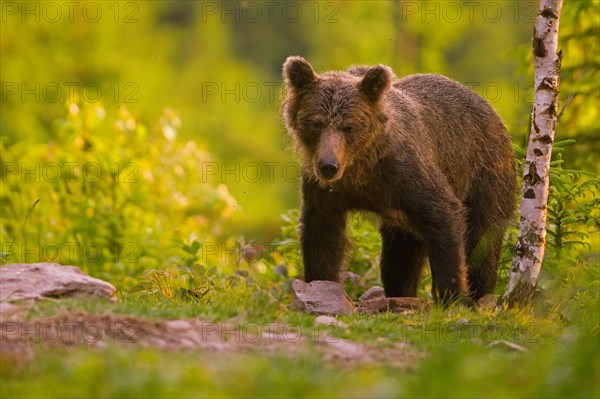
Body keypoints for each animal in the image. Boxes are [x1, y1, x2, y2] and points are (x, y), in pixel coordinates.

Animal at [282, 56, 516, 304]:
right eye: (316, 124)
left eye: (349, 126)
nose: (328, 165)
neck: (361, 169)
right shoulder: (324, 192)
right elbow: (322, 237)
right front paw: (320, 284)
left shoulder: (407, 174)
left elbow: (445, 217)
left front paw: (452, 296)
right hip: (404, 224)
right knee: (399, 260)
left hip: (486, 174)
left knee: (483, 240)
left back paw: (482, 292)